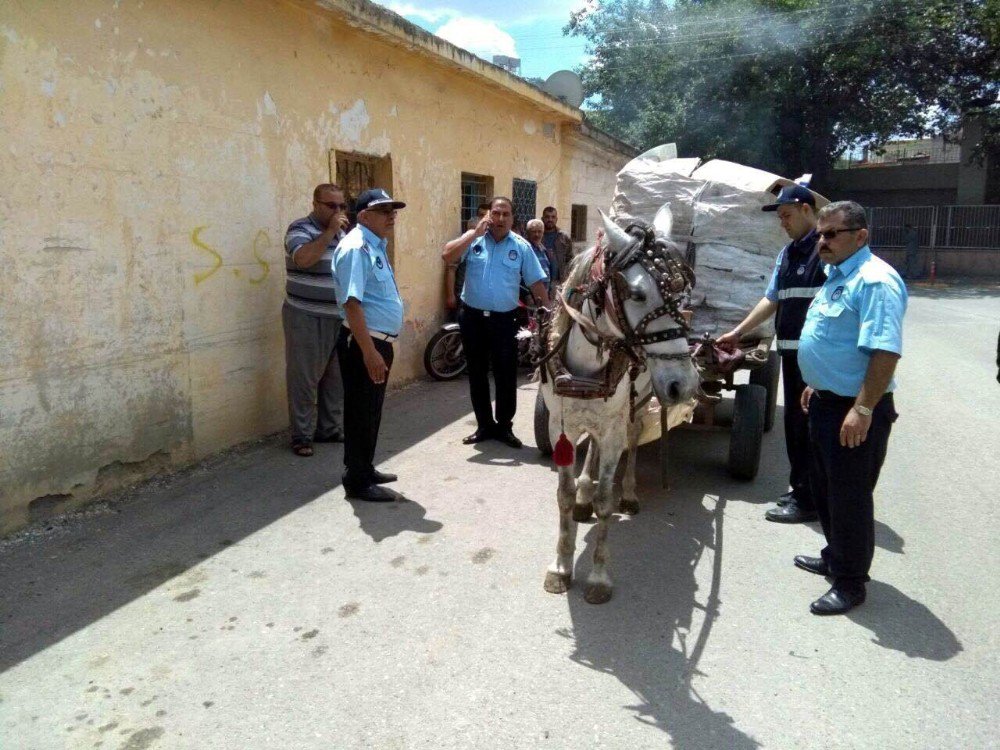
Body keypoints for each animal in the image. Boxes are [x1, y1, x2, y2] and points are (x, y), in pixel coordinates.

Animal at [544, 212, 700, 604]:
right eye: (639, 294)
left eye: (682, 295)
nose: (685, 384)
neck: (585, 369)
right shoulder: (559, 426)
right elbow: (564, 495)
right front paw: (560, 567)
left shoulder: (613, 421)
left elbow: (605, 500)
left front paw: (598, 576)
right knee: (596, 449)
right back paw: (585, 492)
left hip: (634, 405)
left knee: (630, 439)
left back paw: (628, 493)